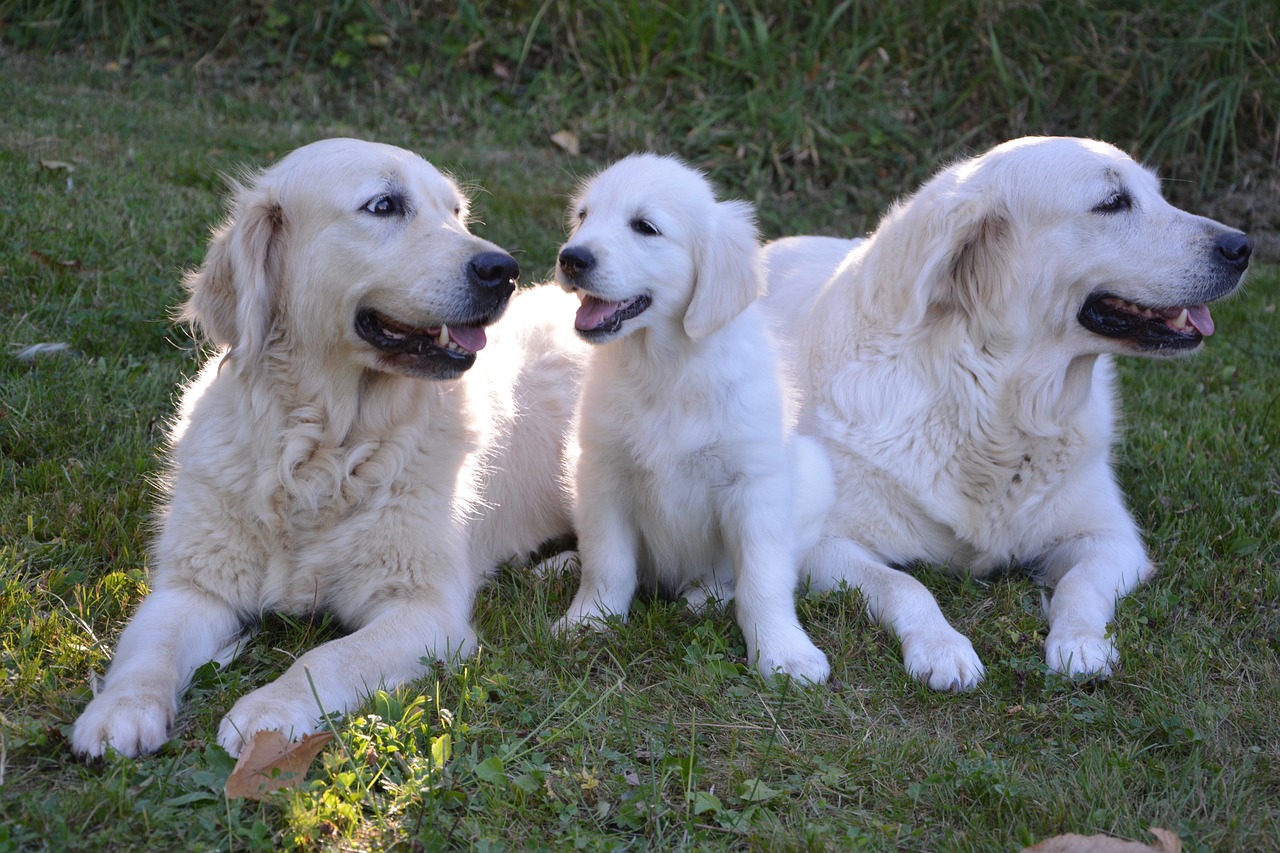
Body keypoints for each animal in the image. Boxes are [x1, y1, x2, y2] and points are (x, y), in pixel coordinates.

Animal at [72, 139, 583, 758]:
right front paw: (118, 710)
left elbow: (329, 656)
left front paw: (268, 710)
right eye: (384, 205)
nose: (502, 270)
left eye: (457, 213)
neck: (322, 447)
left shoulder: (424, 608)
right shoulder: (194, 584)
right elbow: (152, 648)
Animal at [555, 154, 834, 686]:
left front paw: (784, 652)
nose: (570, 258)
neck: (666, 367)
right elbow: (607, 563)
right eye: (583, 216)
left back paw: (705, 596)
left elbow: (764, 578)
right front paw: (589, 621)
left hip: (811, 474)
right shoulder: (602, 474)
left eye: (645, 227)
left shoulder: (754, 485)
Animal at [757, 136, 1249, 686]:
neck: (995, 405)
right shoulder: (825, 545)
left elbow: (1079, 585)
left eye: (1158, 194)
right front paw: (942, 647)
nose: (1243, 247)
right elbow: (905, 586)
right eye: (1111, 203)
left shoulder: (1111, 537)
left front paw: (1080, 642)